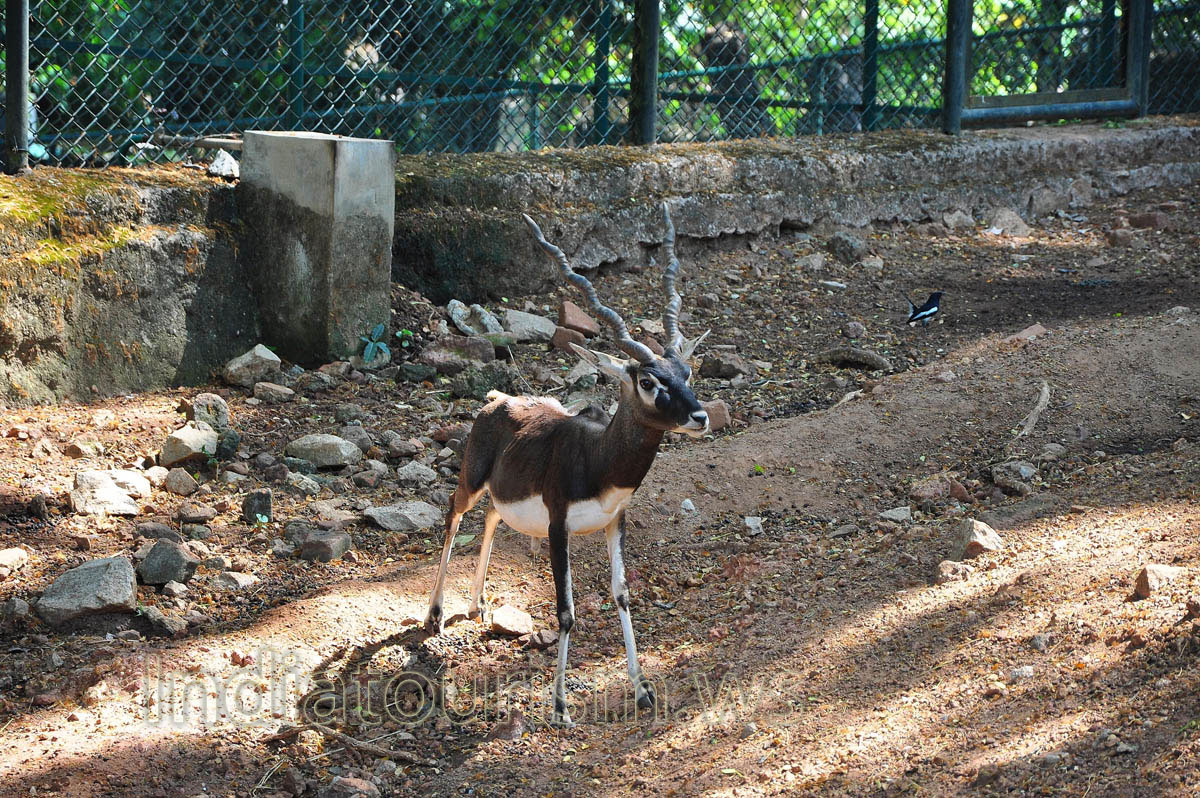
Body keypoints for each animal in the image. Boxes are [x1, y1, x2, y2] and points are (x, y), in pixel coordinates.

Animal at [424, 203, 709, 727]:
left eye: (687, 372)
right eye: (647, 381)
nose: (700, 417)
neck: (600, 461)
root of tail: (497, 400)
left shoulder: (616, 521)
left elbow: (621, 593)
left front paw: (642, 690)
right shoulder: (559, 526)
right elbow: (566, 611)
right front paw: (558, 706)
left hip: (501, 494)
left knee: (492, 516)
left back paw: (476, 606)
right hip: (472, 479)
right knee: (454, 516)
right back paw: (433, 614)